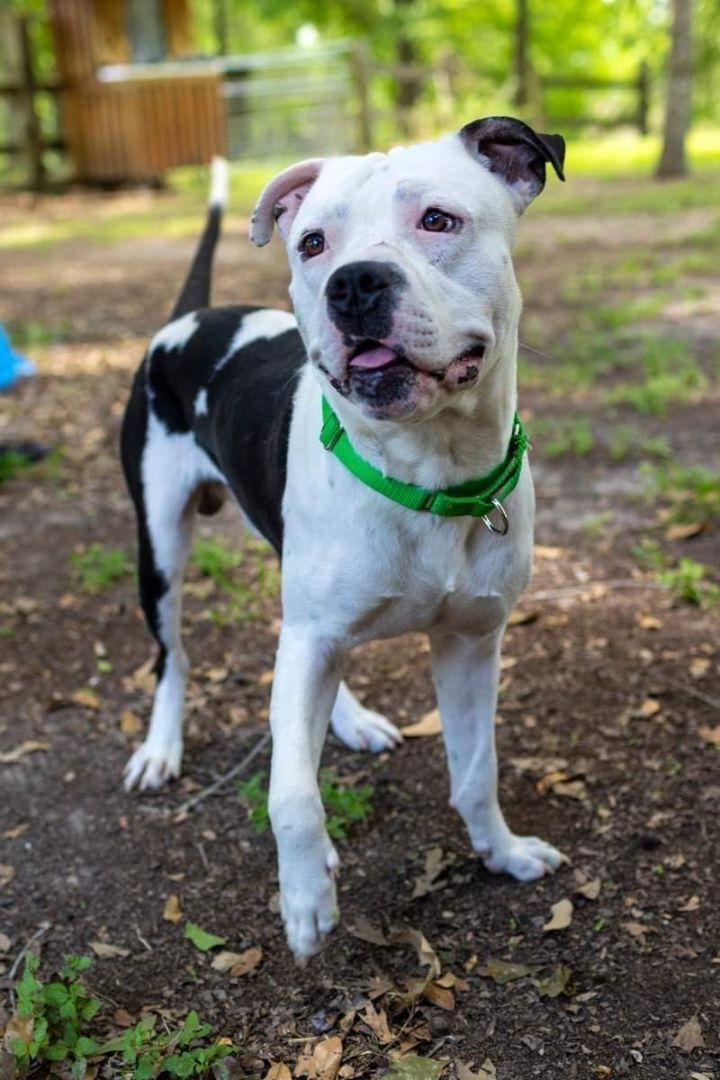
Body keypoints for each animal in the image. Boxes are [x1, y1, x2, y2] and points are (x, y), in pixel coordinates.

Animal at [119, 118, 569, 963]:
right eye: (314, 243)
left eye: (438, 220)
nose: (354, 282)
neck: (428, 471)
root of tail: (185, 321)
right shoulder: (310, 642)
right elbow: (291, 793)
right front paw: (304, 899)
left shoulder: (471, 643)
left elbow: (476, 769)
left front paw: (501, 850)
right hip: (157, 550)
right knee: (174, 657)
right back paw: (161, 748)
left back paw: (349, 718)